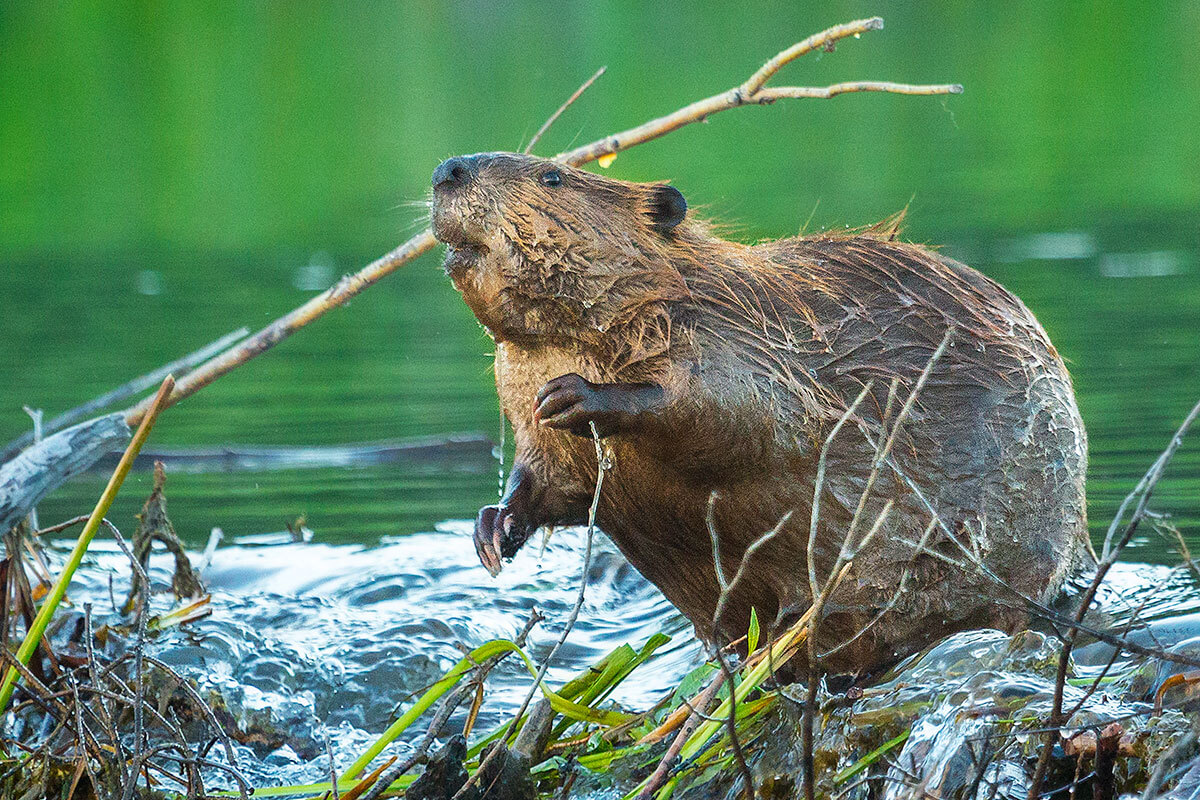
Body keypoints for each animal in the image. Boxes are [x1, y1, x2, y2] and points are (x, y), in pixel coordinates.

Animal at [432, 151, 1099, 676]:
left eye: (552, 177)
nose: (448, 170)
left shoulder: (735, 337)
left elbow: (740, 413)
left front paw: (575, 396)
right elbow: (550, 479)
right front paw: (492, 532)